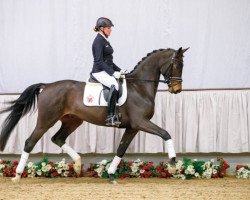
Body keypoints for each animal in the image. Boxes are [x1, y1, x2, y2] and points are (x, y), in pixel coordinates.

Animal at [0, 47, 188, 183]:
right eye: (176, 65)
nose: (177, 90)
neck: (140, 87)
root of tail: (47, 86)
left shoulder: (133, 127)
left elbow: (121, 149)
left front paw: (111, 175)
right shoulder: (140, 122)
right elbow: (165, 133)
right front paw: (172, 164)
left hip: (73, 121)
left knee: (58, 138)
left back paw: (77, 165)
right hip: (46, 120)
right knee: (30, 142)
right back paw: (17, 175)